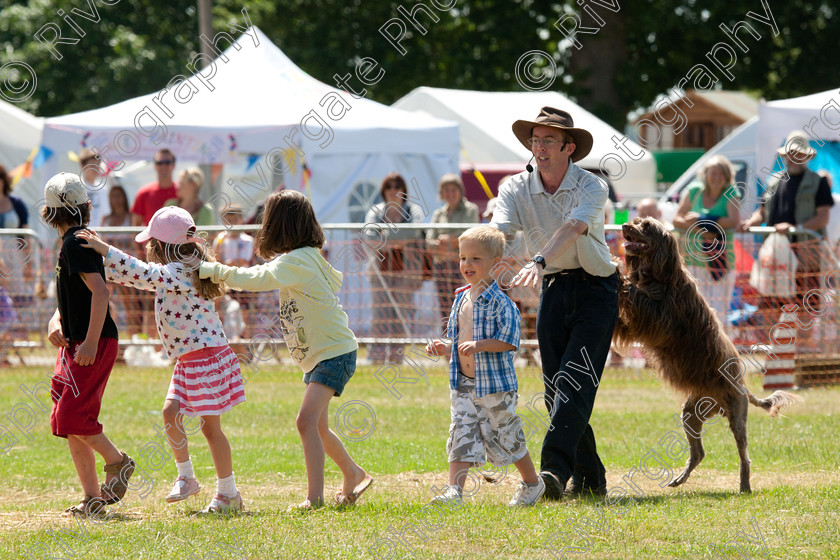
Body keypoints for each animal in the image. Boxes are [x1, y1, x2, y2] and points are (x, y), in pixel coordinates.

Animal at [612, 217, 796, 492]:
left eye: (646, 226)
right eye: (635, 222)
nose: (624, 226)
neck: (659, 276)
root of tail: (743, 387)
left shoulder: (659, 317)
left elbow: (637, 295)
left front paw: (618, 272)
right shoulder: (637, 323)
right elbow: (623, 318)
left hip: (736, 416)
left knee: (744, 456)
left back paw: (744, 485)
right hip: (690, 413)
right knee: (698, 452)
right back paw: (679, 479)